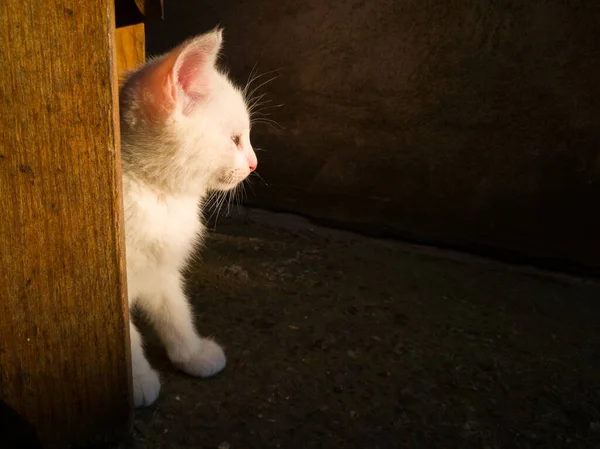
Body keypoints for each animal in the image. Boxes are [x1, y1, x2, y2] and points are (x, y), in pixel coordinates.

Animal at [118, 28, 256, 406]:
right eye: (235, 139)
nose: (254, 164)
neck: (159, 195)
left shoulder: (161, 266)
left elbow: (174, 310)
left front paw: (191, 354)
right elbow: (127, 337)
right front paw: (136, 379)